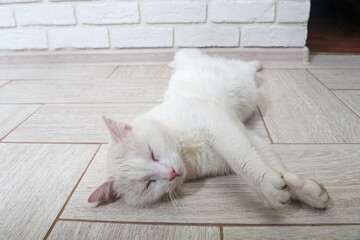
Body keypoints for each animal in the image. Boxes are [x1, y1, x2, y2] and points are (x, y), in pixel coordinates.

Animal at [89, 49, 330, 210]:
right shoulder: (242, 141)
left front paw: (285, 189)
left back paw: (258, 62)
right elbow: (268, 163)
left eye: (152, 153)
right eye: (148, 184)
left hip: (239, 74)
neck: (185, 151)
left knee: (244, 65)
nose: (172, 173)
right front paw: (297, 189)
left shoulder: (220, 125)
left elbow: (245, 161)